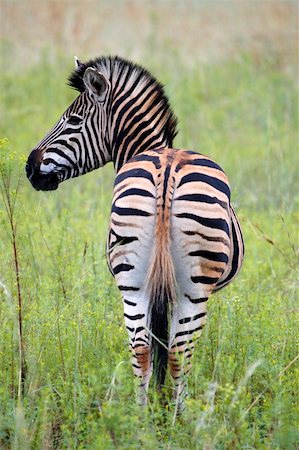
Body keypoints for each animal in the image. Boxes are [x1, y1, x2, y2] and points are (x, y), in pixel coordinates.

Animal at [26, 55, 246, 412]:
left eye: (73, 120)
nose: (29, 168)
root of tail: (166, 171)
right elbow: (164, 342)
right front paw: (163, 400)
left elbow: (155, 341)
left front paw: (156, 400)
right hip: (192, 287)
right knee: (178, 352)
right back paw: (178, 418)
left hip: (133, 278)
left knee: (141, 349)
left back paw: (142, 418)